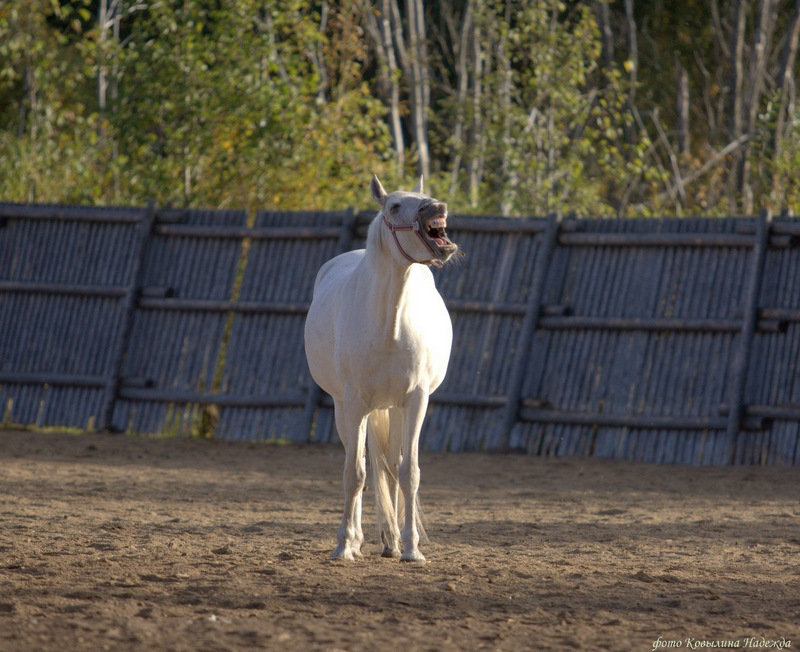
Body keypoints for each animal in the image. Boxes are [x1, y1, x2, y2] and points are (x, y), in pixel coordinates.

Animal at [304, 174, 460, 560]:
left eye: (425, 196)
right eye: (394, 206)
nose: (437, 208)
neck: (390, 322)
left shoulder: (416, 402)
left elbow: (408, 473)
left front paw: (411, 548)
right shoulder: (355, 404)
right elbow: (355, 474)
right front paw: (344, 544)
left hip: (394, 408)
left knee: (389, 466)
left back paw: (391, 541)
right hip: (347, 409)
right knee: (362, 465)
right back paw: (359, 540)